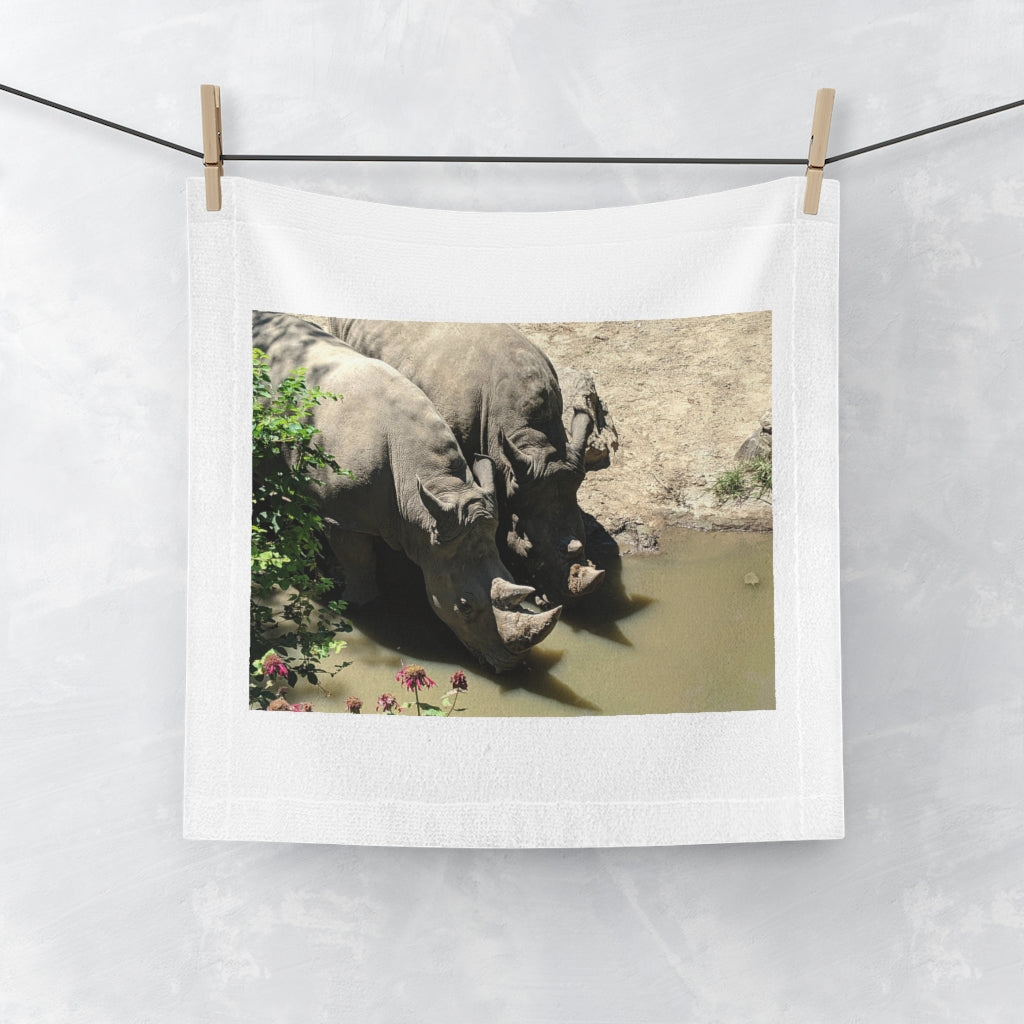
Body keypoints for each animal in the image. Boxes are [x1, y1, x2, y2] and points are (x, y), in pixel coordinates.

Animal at [252, 312, 561, 672]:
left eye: (513, 576)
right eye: (464, 606)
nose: (512, 665)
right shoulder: (341, 515)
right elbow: (359, 561)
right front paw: (363, 605)